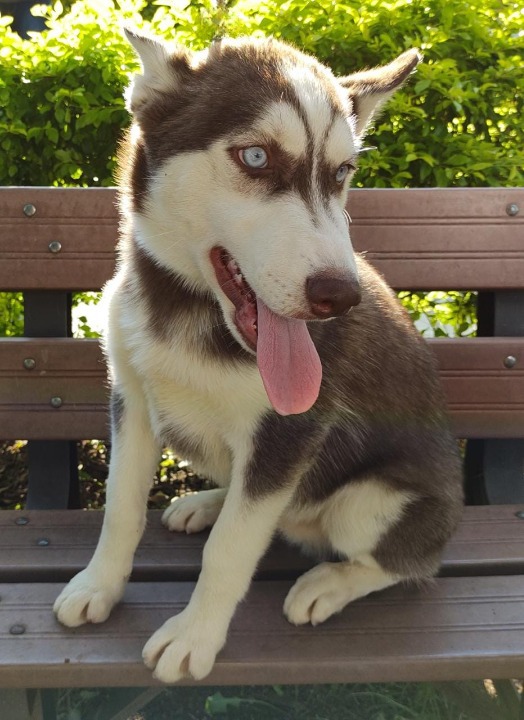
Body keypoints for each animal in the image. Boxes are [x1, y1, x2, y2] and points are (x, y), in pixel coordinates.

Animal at [53, 29, 462, 680]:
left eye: (343, 171)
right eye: (256, 158)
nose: (340, 296)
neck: (189, 306)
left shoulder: (291, 431)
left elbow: (232, 547)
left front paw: (195, 636)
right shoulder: (133, 402)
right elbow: (121, 507)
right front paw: (99, 585)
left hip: (370, 504)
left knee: (407, 564)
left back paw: (330, 583)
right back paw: (209, 501)